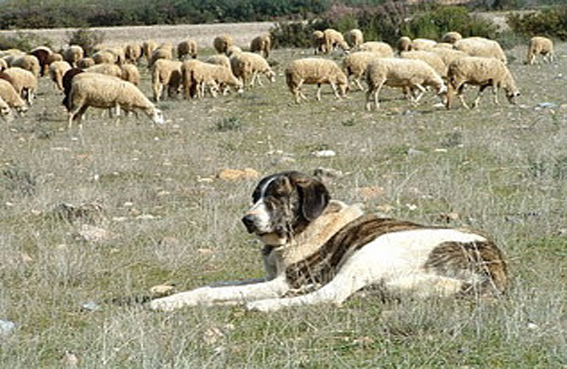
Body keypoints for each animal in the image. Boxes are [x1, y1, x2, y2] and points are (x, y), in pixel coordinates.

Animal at [149, 170, 508, 310]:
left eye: (277, 196)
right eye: (256, 196)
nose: (247, 220)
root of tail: (496, 268)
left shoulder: (281, 282)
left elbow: (224, 292)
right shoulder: (273, 278)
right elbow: (212, 287)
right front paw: (168, 300)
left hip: (373, 248)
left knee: (332, 294)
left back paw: (264, 306)